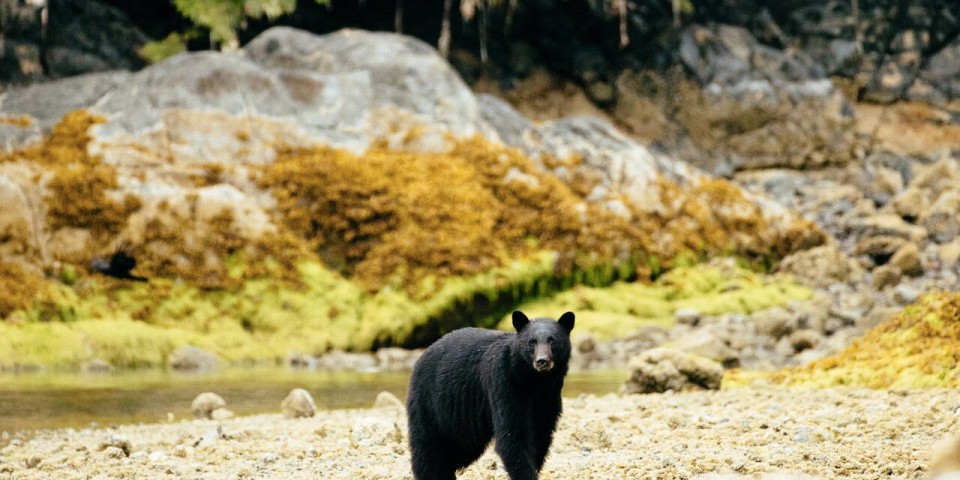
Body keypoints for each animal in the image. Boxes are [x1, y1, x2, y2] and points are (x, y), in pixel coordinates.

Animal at [406, 310, 576, 478]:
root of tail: (423, 355)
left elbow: (541, 432)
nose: (542, 361)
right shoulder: (504, 383)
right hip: (429, 399)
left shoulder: (549, 395)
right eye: (532, 342)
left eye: (552, 340)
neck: (534, 381)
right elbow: (512, 433)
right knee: (427, 444)